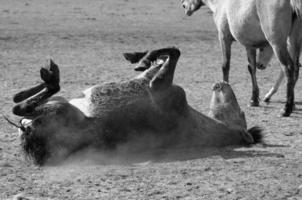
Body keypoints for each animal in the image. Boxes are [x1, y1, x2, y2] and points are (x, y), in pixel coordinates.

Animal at [11, 47, 262, 166]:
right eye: (242, 113)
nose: (222, 83)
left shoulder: (158, 84)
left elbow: (173, 53)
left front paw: (141, 58)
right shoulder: (156, 81)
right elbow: (169, 54)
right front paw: (141, 57)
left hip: (59, 108)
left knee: (22, 107)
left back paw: (50, 76)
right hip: (60, 104)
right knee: (19, 105)